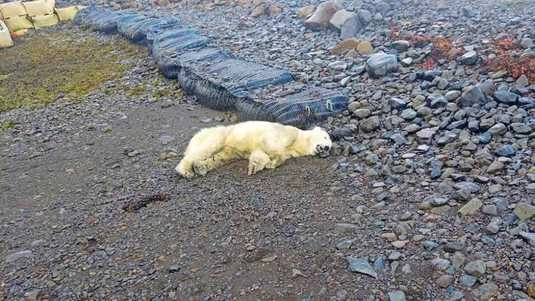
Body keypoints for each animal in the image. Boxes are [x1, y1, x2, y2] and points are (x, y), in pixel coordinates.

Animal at [176, 120, 332, 177]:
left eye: (330, 147)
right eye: (325, 138)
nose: (326, 149)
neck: (298, 141)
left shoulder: (291, 150)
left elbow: (259, 153)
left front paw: (256, 167)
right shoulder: (286, 133)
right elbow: (271, 144)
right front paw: (273, 161)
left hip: (229, 149)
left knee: (220, 157)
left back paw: (200, 167)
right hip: (220, 135)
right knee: (207, 148)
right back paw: (185, 171)